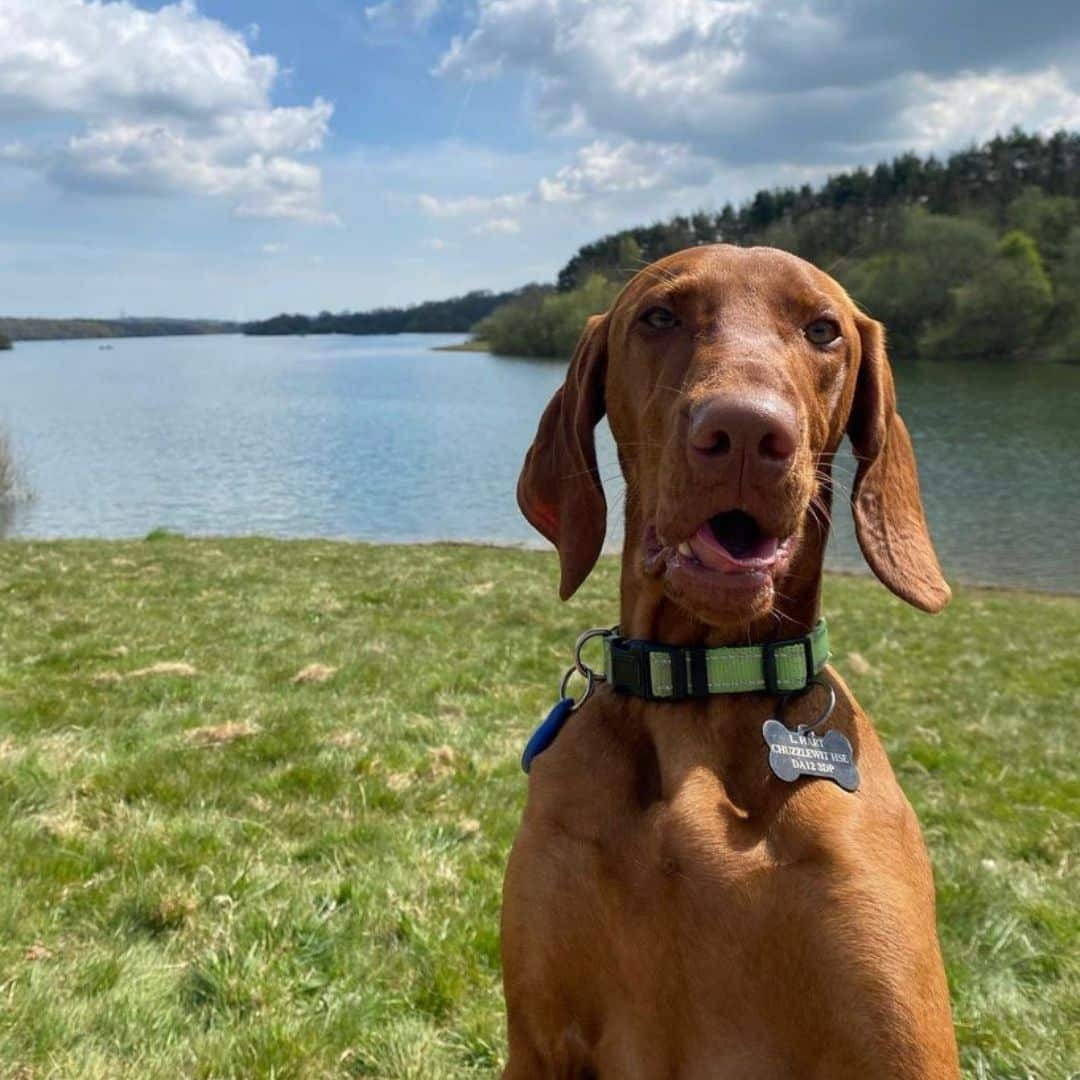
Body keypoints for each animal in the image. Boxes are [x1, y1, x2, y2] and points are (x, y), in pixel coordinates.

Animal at [501, 247, 959, 1080]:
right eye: (659, 317)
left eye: (823, 329)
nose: (745, 431)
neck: (707, 686)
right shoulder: (540, 1045)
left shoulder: (900, 1048)